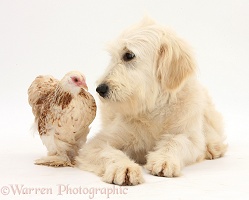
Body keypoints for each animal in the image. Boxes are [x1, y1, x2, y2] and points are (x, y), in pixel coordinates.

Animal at [75, 17, 227, 186]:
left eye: (129, 55)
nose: (100, 89)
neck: (152, 108)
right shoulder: (98, 143)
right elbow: (108, 152)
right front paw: (123, 167)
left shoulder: (189, 137)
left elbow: (176, 142)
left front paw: (164, 159)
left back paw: (213, 145)